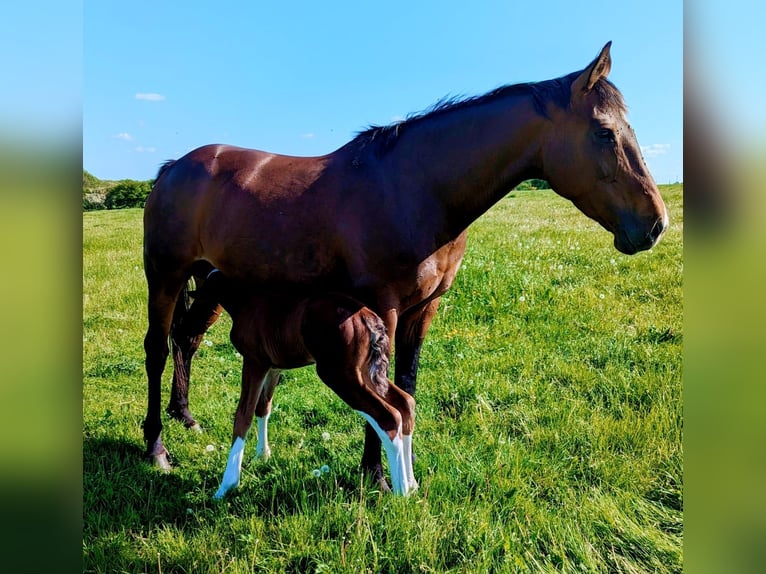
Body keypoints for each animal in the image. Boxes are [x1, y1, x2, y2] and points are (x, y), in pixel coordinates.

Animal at [181, 272, 420, 500]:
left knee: (388, 417)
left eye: (201, 298)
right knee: (406, 403)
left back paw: (401, 491)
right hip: (366, 373)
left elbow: (243, 415)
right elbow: (263, 407)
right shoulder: (274, 368)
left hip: (339, 375)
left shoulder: (254, 362)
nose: (187, 325)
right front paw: (262, 455)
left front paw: (226, 486)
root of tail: (368, 318)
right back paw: (411, 485)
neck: (246, 303)